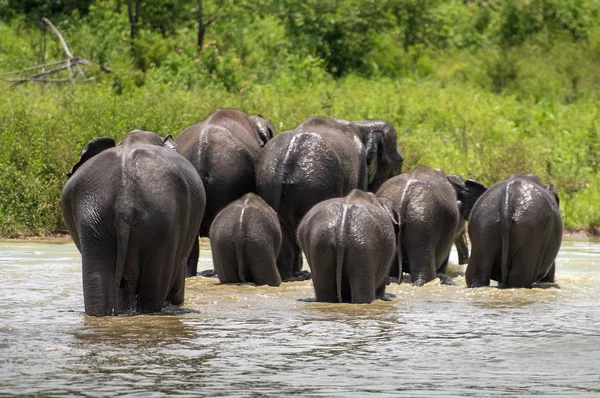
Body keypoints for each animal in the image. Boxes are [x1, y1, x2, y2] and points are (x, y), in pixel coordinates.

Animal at [254, 117, 404, 280]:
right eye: (398, 164)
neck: (362, 124)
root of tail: (285, 163)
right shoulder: (361, 168)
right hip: (314, 187)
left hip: (268, 183)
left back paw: (292, 275)